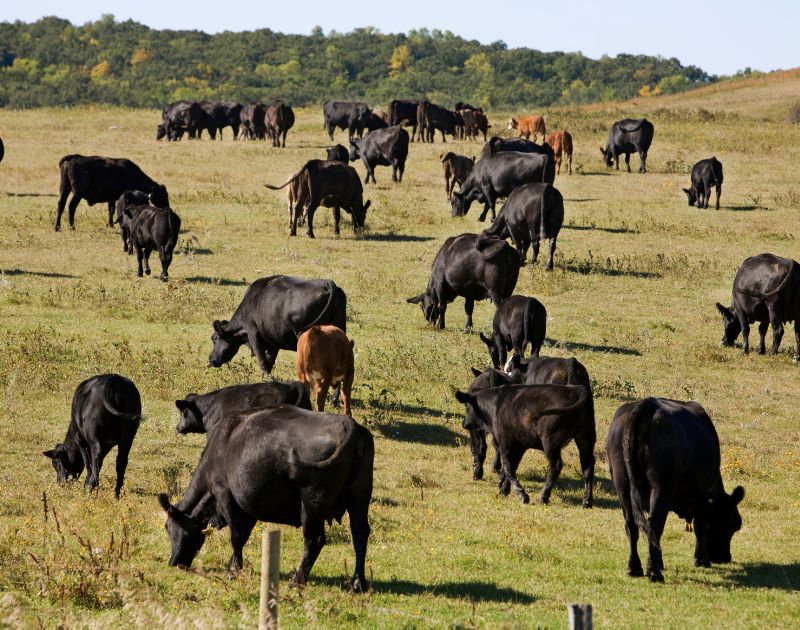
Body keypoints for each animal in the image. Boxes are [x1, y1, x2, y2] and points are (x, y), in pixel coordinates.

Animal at [161, 408, 376, 592]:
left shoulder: (226, 495)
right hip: (359, 496)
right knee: (359, 534)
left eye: (171, 528)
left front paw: (233, 570)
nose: (174, 563)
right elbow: (243, 535)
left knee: (314, 540)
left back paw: (297, 581)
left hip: (312, 503)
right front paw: (234, 565)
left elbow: (236, 536)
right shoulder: (249, 506)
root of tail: (350, 425)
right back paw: (358, 583)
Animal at [208, 276, 346, 376]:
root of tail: (327, 283)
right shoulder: (273, 341)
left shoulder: (253, 335)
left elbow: (263, 362)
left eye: (214, 338)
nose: (211, 359)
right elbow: (270, 362)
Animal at [456, 382, 592, 506]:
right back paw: (587, 501)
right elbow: (512, 467)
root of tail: (576, 389)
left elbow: (508, 468)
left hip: (550, 442)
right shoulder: (520, 445)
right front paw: (504, 490)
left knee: (555, 466)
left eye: (467, 406)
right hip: (585, 437)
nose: (464, 424)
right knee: (587, 466)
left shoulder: (505, 443)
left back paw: (543, 497)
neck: (496, 404)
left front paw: (521, 494)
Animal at [608, 400, 748, 584]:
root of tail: (648, 403)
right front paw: (701, 560)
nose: (724, 558)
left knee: (632, 524)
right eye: (733, 525)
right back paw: (654, 573)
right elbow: (700, 526)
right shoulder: (706, 494)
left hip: (622, 482)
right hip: (662, 485)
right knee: (654, 525)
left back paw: (635, 568)